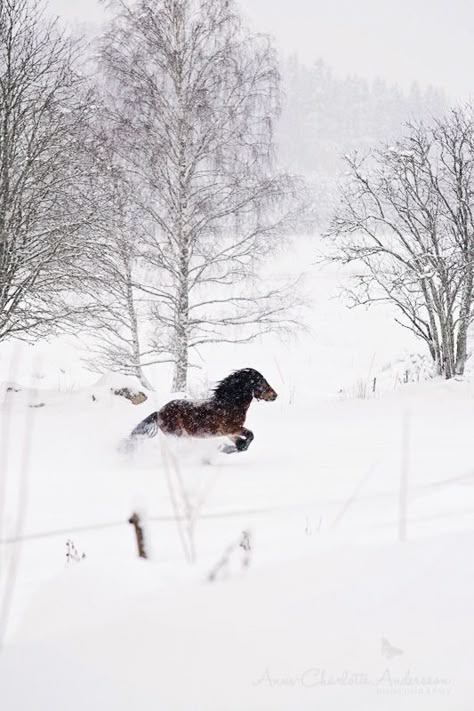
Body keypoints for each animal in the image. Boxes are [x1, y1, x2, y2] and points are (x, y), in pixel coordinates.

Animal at [130, 370, 278, 454]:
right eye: (261, 382)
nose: (275, 395)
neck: (230, 405)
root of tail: (159, 412)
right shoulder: (231, 428)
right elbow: (250, 436)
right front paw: (225, 449)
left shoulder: (229, 432)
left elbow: (242, 442)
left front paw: (228, 449)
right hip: (179, 435)